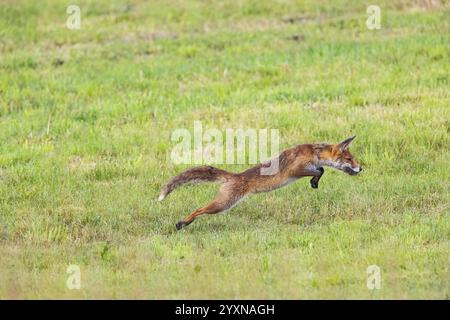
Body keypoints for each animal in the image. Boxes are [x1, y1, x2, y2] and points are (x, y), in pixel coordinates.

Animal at [158, 135, 362, 230]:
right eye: (349, 159)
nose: (361, 168)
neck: (314, 153)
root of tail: (235, 176)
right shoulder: (295, 170)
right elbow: (321, 170)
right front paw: (314, 181)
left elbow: (321, 170)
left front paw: (314, 183)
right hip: (222, 204)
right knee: (198, 209)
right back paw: (183, 223)